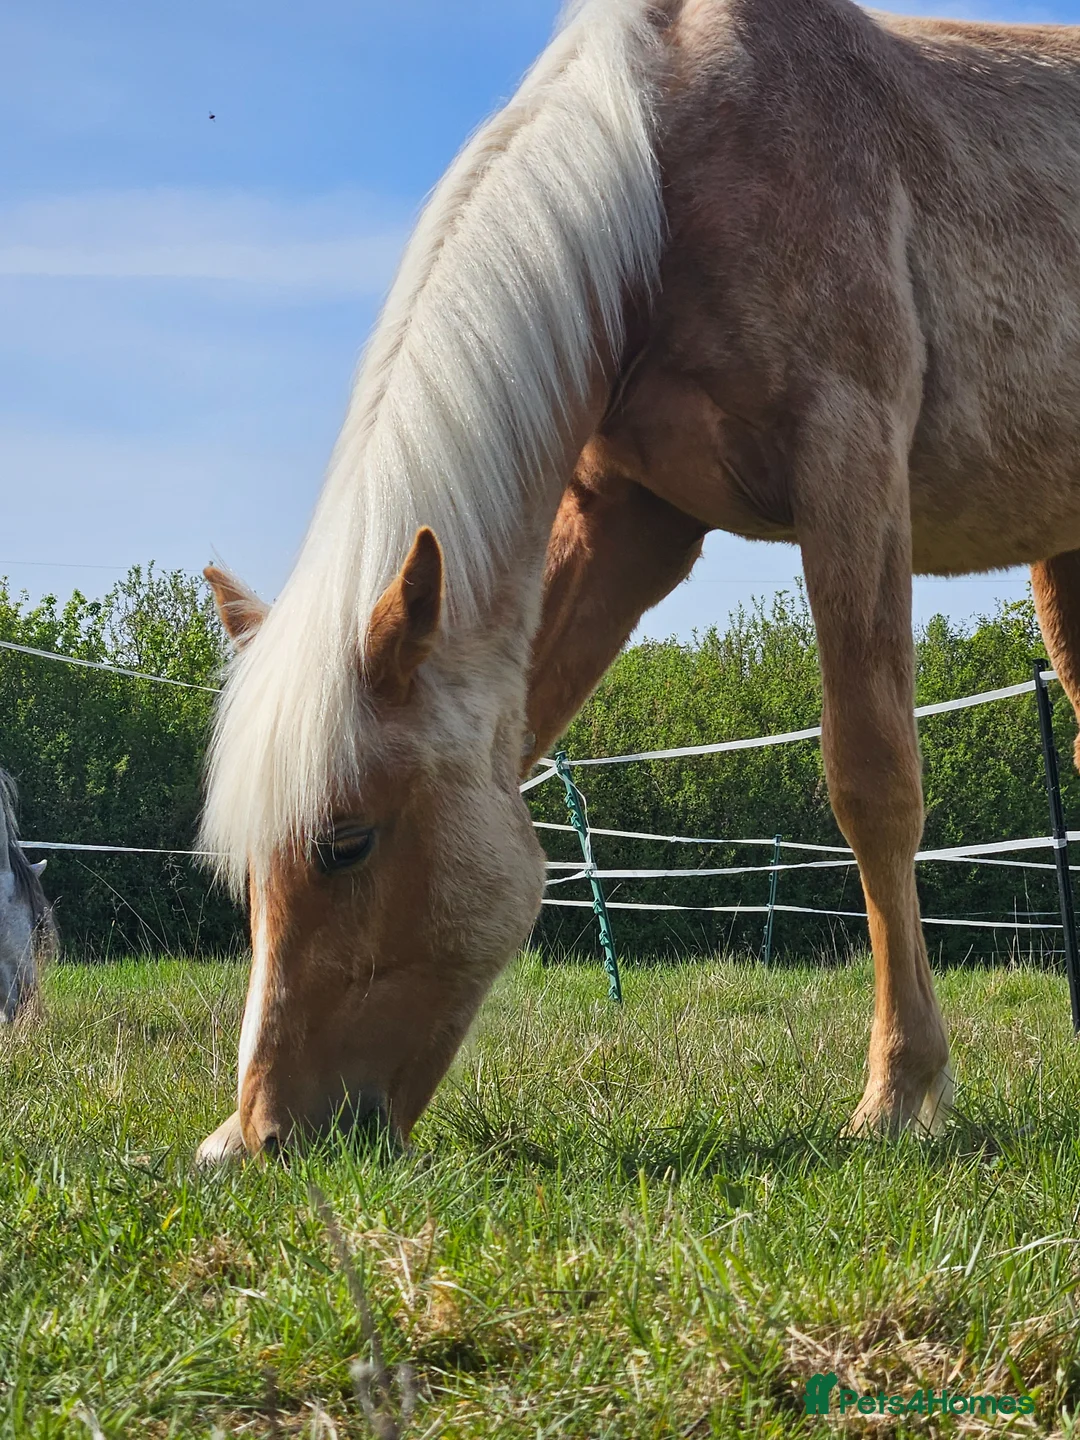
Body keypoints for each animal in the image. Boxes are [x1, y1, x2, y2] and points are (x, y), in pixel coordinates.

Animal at [196, 0, 1080, 1161]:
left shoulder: (851, 472)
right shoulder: (629, 522)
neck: (668, 170)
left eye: (347, 843)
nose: (263, 1137)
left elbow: (874, 780)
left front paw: (901, 1090)